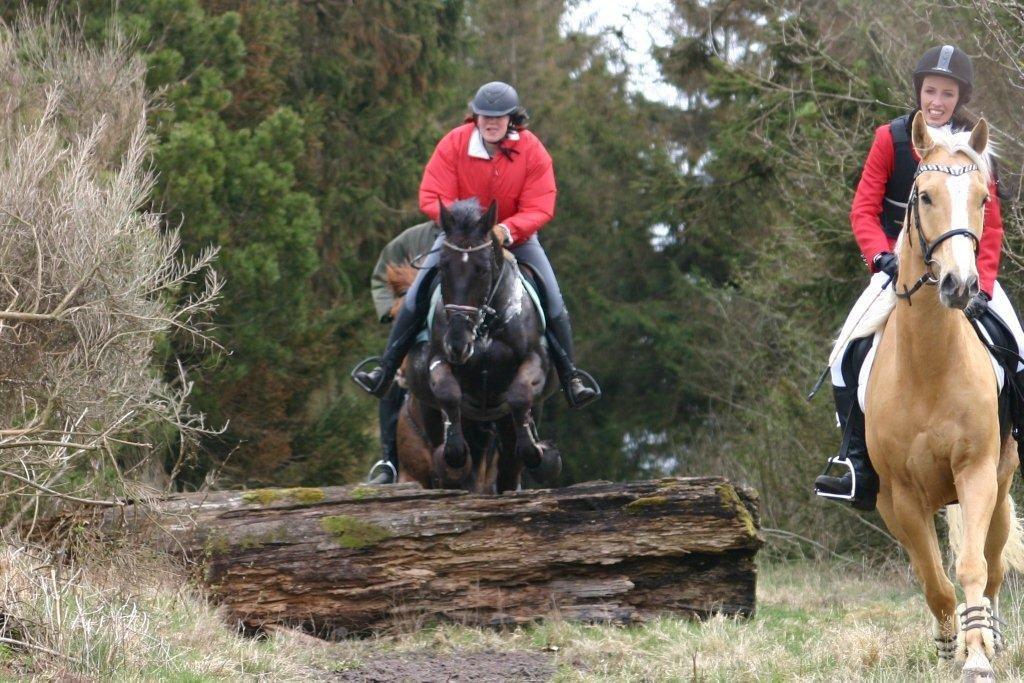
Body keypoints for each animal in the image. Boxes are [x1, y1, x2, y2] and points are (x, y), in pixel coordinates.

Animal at [397, 197, 565, 491]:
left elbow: (519, 395)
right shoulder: (437, 357)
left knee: (508, 467)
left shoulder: (536, 359)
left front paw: (539, 453)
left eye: (483, 270)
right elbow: (448, 393)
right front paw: (451, 456)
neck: (486, 326)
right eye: (443, 267)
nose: (458, 343)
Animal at [864, 111, 1024, 679]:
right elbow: (933, 581)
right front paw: (948, 646)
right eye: (925, 196)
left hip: (1000, 485)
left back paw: (991, 636)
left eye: (982, 198)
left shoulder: (975, 471)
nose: (960, 286)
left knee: (993, 566)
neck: (929, 365)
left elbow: (973, 566)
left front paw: (976, 654)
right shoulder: (902, 497)